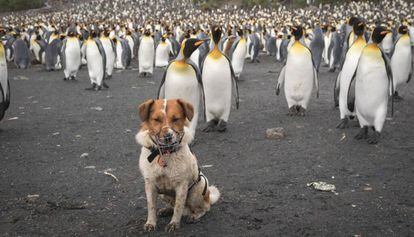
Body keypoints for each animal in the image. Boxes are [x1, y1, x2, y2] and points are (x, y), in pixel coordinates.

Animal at [135, 99, 220, 232]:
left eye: (176, 119)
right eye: (156, 119)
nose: (168, 136)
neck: (164, 153)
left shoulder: (182, 185)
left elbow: (178, 207)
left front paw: (174, 223)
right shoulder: (150, 184)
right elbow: (151, 206)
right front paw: (151, 223)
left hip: (197, 189)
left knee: (204, 207)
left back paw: (194, 215)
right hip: (163, 195)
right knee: (173, 205)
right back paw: (166, 210)